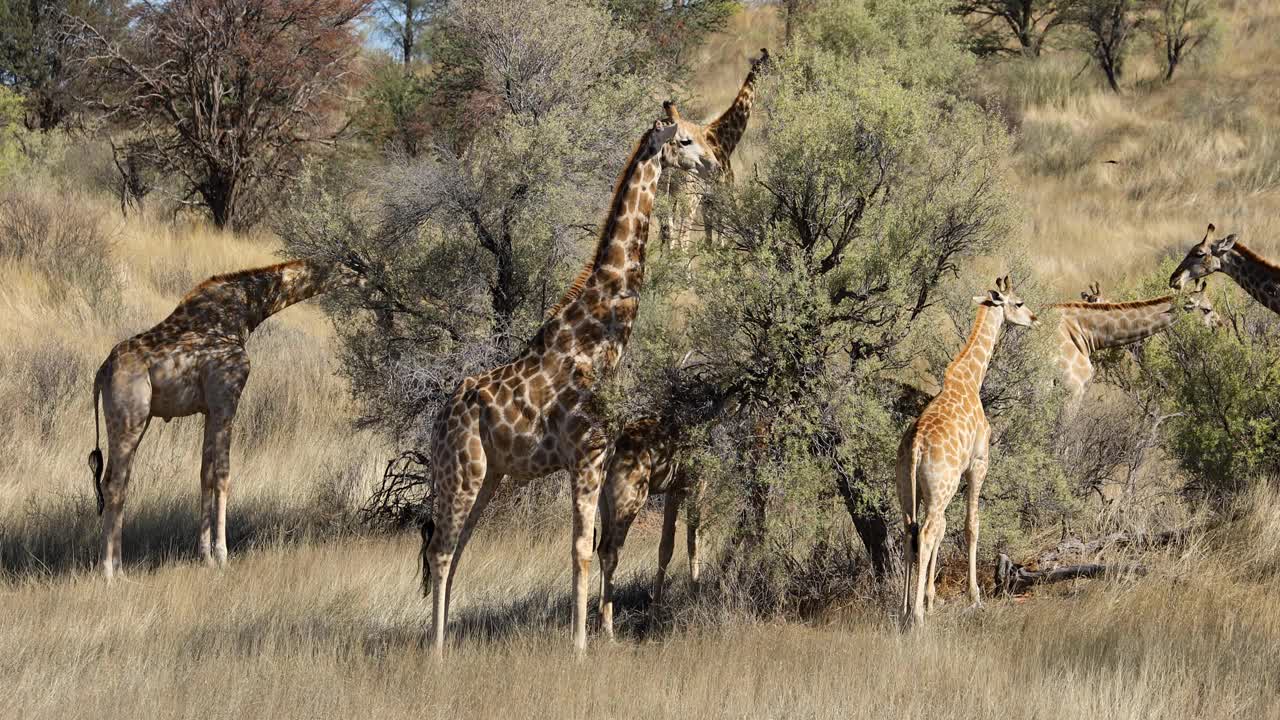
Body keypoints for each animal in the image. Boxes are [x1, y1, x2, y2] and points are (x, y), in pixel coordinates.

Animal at [87, 258, 355, 576]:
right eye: (353, 268)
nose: (374, 280)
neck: (247, 310)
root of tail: (102, 372)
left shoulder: (208, 409)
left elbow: (205, 473)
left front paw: (204, 555)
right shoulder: (226, 400)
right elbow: (223, 474)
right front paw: (222, 555)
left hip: (127, 422)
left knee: (115, 482)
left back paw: (119, 568)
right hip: (131, 419)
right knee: (114, 485)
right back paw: (109, 572)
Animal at [419, 102, 721, 655]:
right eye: (685, 139)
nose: (712, 163)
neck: (600, 337)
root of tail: (438, 421)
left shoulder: (597, 460)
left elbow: (597, 548)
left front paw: (595, 635)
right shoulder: (586, 455)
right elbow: (582, 549)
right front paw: (580, 647)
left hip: (488, 476)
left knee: (454, 547)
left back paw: (445, 640)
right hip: (462, 471)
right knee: (442, 551)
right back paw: (436, 652)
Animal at [660, 47, 768, 249]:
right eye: (770, 63)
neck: (725, 138)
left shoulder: (708, 198)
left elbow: (710, 232)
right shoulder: (724, 190)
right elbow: (722, 228)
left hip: (666, 194)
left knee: (666, 229)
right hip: (689, 196)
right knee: (682, 232)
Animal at [890, 272, 1039, 622]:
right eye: (1019, 302)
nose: (1034, 319)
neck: (971, 380)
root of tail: (915, 448)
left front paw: (930, 599)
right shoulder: (979, 463)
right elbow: (972, 526)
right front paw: (975, 596)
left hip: (907, 489)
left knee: (909, 533)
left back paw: (904, 612)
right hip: (940, 488)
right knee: (927, 533)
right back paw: (917, 617)